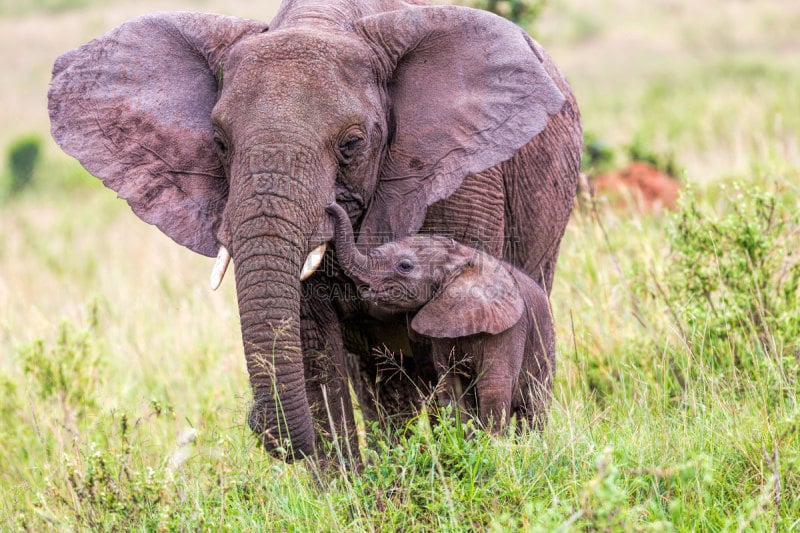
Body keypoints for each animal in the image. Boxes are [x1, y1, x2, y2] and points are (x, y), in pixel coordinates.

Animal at [326, 202, 556, 430]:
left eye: (405, 266)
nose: (330, 206)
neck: (462, 259)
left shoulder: (507, 330)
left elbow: (493, 386)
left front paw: (492, 441)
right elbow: (451, 385)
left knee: (534, 405)